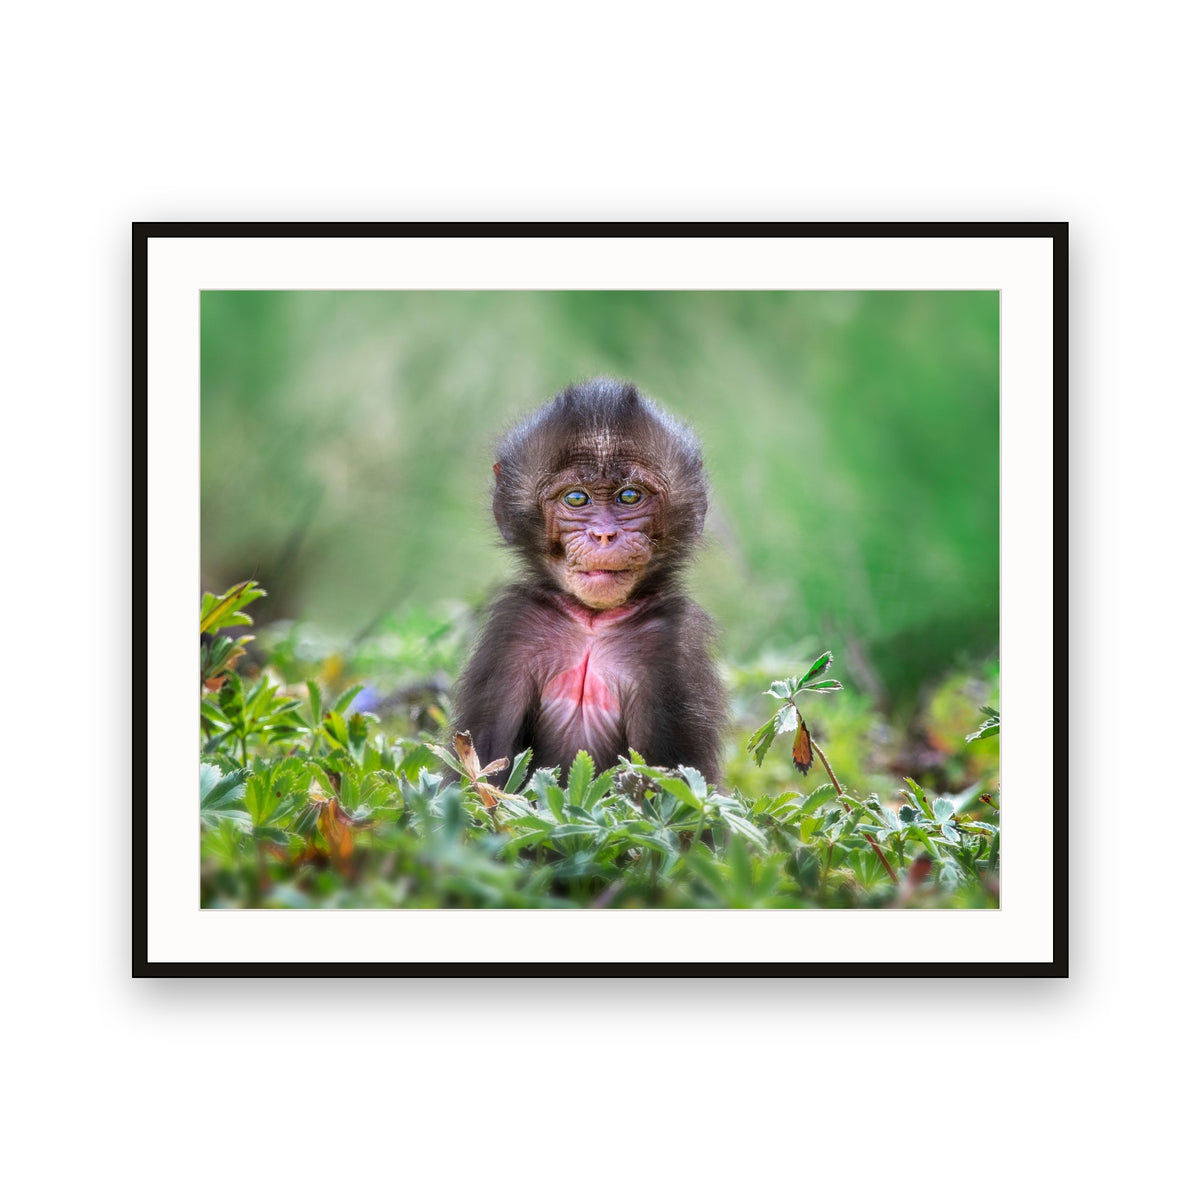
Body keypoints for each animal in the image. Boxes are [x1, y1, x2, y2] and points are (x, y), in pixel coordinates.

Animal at [453, 377, 727, 785]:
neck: (592, 622)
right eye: (577, 498)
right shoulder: (515, 627)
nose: (604, 534)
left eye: (629, 496)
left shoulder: (675, 645)